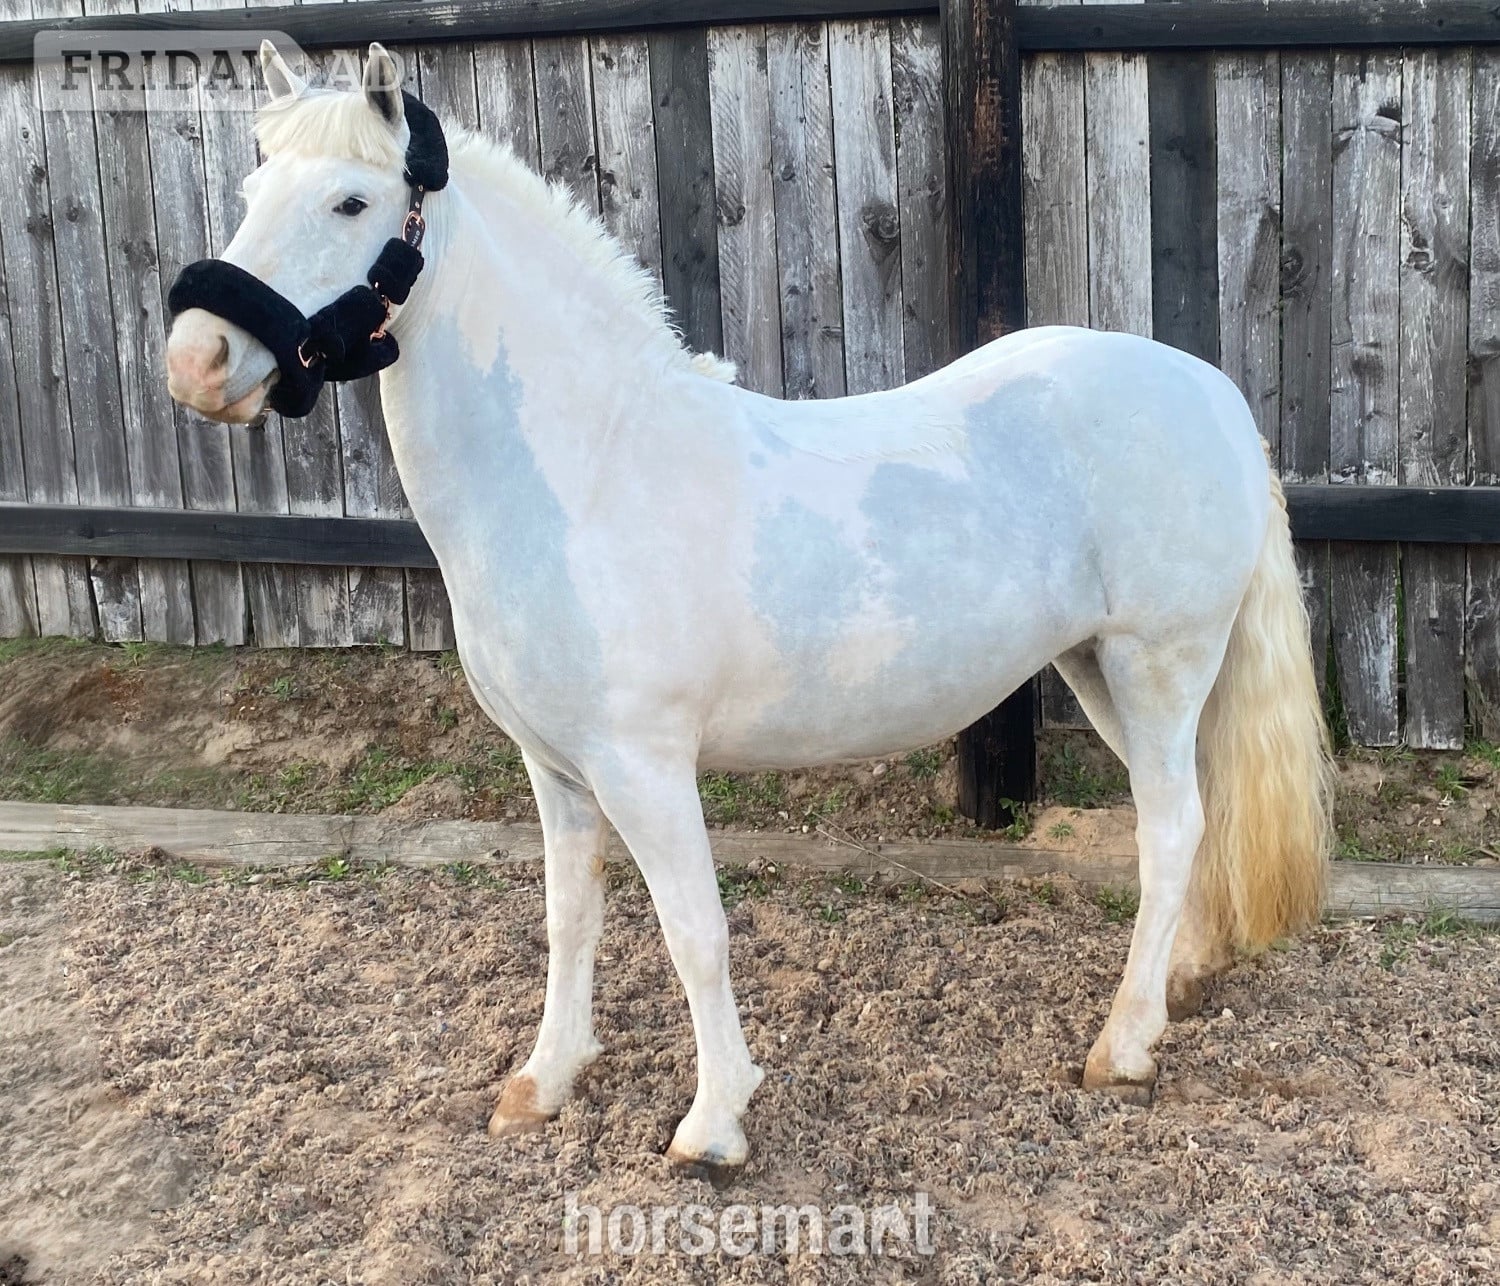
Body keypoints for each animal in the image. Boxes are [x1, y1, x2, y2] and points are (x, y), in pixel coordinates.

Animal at [165, 42, 1333, 1181]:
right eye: (254, 186)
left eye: (353, 201)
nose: (196, 362)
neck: (588, 469)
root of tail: (1214, 396)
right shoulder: (557, 767)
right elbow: (570, 917)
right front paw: (545, 1082)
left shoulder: (644, 765)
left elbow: (695, 932)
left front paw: (714, 1123)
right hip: (1098, 670)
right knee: (1188, 815)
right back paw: (1178, 981)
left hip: (1156, 663)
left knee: (1172, 827)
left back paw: (1122, 1045)